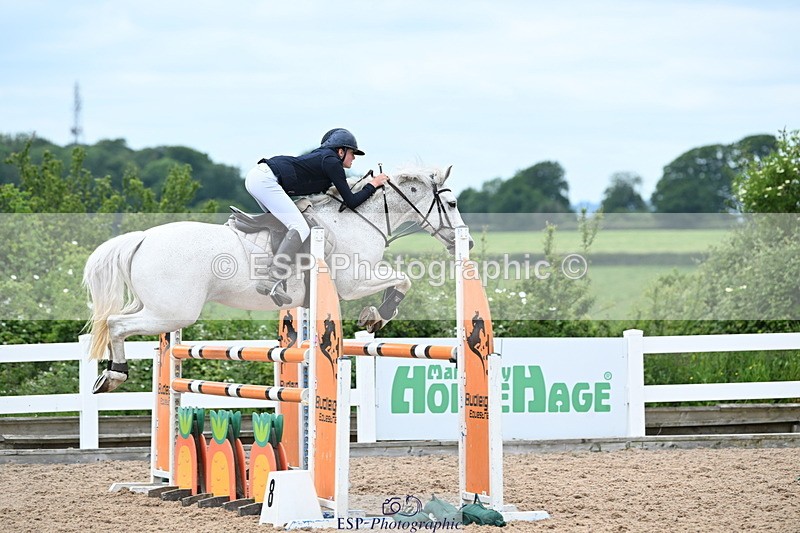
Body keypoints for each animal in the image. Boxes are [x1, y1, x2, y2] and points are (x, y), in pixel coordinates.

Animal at [83, 166, 472, 393]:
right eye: (453, 205)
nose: (465, 243)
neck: (359, 219)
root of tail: (143, 238)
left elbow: (401, 280)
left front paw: (375, 315)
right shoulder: (353, 282)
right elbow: (403, 280)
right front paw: (378, 315)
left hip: (156, 306)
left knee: (114, 322)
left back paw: (109, 374)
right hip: (173, 312)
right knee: (116, 324)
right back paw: (114, 375)